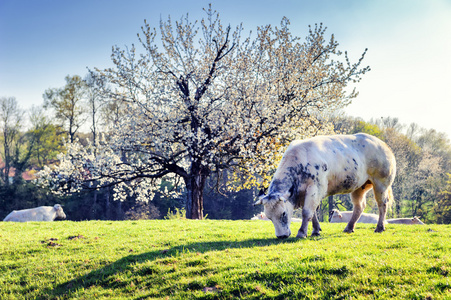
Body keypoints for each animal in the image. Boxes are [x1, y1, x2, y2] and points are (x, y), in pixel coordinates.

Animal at [256, 134, 398, 239]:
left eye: (284, 213)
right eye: (269, 217)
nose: (281, 236)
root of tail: (383, 144)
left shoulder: (315, 189)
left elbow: (307, 212)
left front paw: (302, 233)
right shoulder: (306, 193)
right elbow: (313, 212)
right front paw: (315, 230)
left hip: (381, 184)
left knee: (382, 204)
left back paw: (379, 227)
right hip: (359, 187)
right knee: (359, 206)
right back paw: (349, 227)